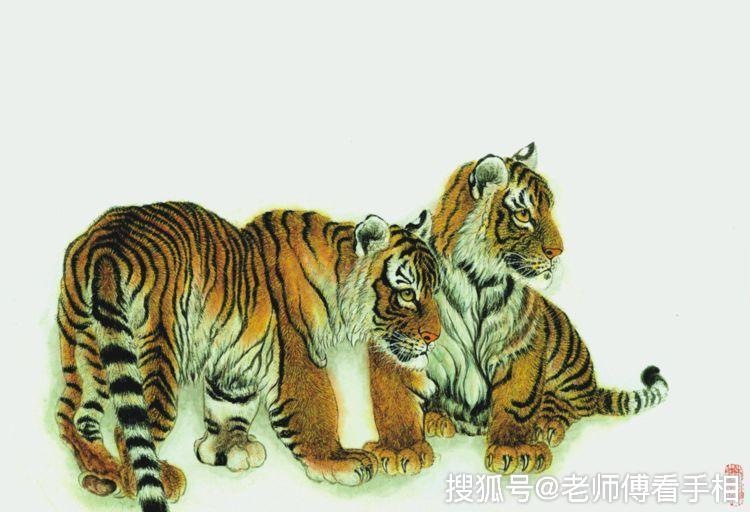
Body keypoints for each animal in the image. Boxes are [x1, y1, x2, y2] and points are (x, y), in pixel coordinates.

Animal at [55, 202, 441, 512]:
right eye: (407, 293)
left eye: (434, 290)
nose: (434, 337)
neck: (338, 274)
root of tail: (107, 243)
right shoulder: (294, 356)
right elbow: (315, 409)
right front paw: (338, 461)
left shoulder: (233, 363)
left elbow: (228, 409)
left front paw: (229, 448)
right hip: (157, 353)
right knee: (127, 429)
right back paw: (153, 480)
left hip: (85, 351)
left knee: (74, 417)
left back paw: (104, 475)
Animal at [415, 143, 669, 474]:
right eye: (524, 214)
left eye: (549, 209)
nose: (557, 252)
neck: (476, 285)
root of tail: (594, 385)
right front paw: (436, 417)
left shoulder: (522, 346)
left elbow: (517, 401)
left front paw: (512, 450)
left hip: (566, 354)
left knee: (571, 405)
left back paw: (546, 424)